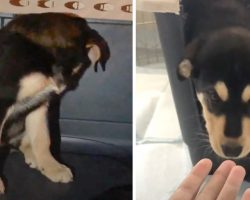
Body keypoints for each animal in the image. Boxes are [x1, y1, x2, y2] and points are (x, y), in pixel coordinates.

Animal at [0, 12, 110, 192]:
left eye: (75, 69)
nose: (59, 88)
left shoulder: (39, 102)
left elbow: (42, 138)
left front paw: (52, 167)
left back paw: (34, 156)